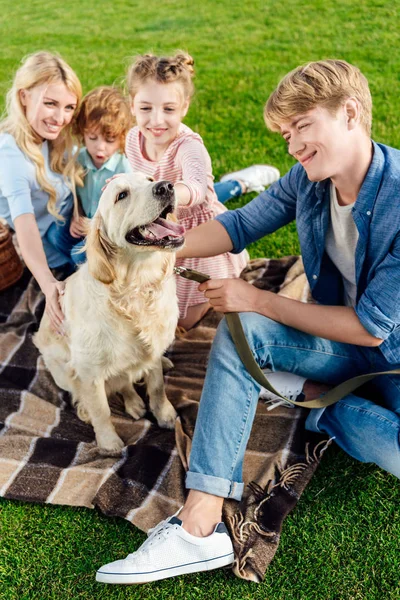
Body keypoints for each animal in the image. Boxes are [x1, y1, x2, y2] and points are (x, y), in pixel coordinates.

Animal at [34, 172, 184, 450]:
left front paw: (165, 414)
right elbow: (101, 409)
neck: (136, 288)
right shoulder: (89, 371)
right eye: (121, 195)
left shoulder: (153, 350)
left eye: (150, 179)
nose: (166, 186)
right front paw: (108, 441)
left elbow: (157, 387)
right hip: (63, 371)